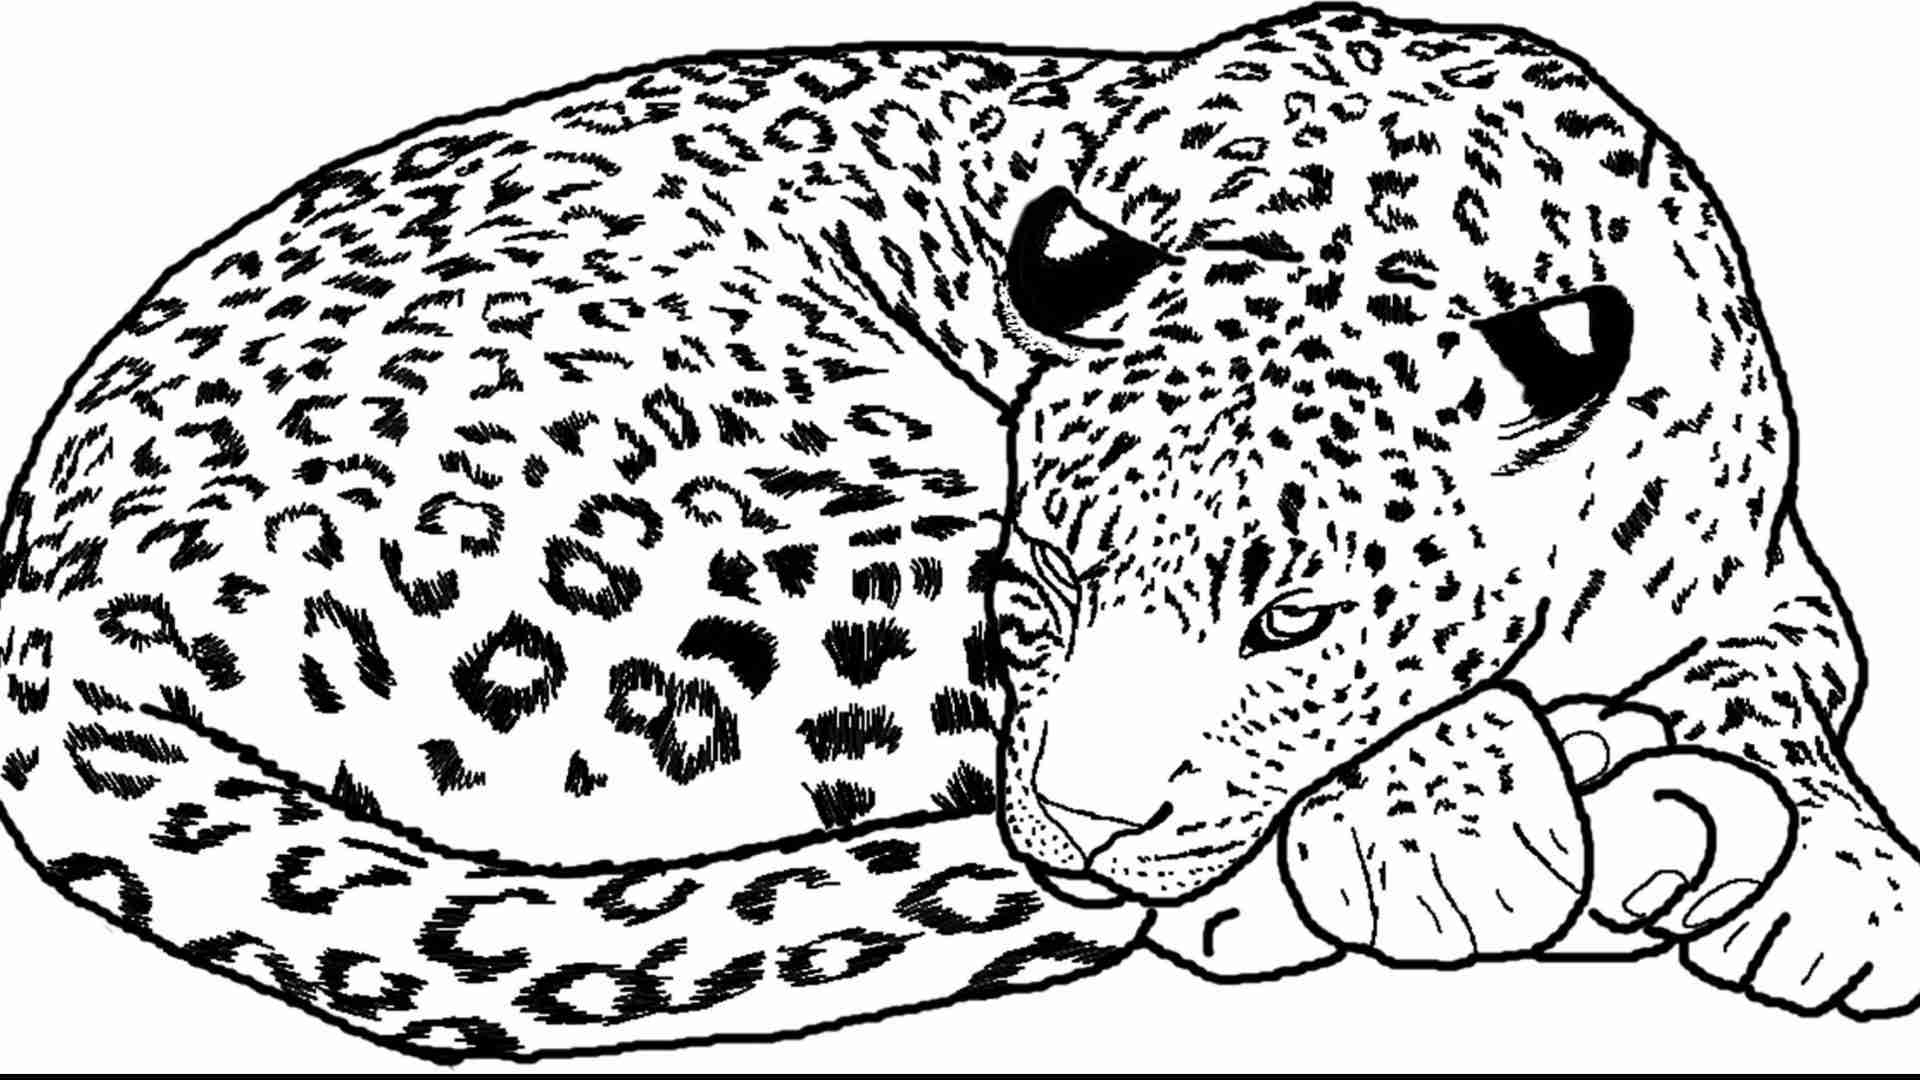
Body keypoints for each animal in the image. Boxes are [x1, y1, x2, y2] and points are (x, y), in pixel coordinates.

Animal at [1, 2, 1914, 1063]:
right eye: (1048, 585)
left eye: (1294, 621)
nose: (1088, 819)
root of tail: (54, 577)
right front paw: (1454, 830)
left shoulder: (1771, 572)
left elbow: (1786, 678)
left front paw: (1849, 888)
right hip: (793, 535)